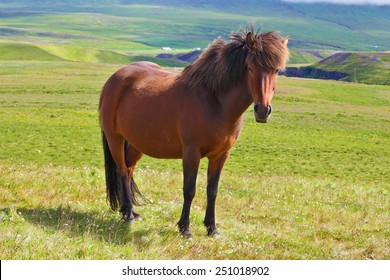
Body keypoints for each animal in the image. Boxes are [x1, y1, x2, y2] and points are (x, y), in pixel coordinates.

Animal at [100, 25, 290, 237]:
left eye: (276, 70)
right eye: (250, 67)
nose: (263, 111)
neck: (216, 103)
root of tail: (116, 78)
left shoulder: (221, 155)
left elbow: (212, 190)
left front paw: (212, 228)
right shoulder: (191, 153)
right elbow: (189, 190)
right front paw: (185, 228)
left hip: (136, 143)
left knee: (129, 169)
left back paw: (132, 211)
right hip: (115, 139)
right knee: (122, 171)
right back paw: (128, 214)